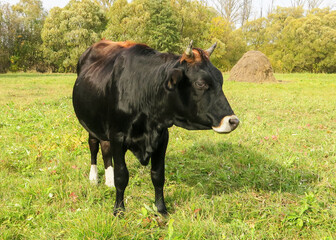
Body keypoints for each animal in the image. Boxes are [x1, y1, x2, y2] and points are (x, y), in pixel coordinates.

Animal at [72, 39, 239, 216]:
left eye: (221, 80)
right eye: (201, 83)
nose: (233, 121)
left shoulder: (162, 137)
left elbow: (158, 175)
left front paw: (161, 209)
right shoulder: (118, 136)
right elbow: (121, 175)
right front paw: (119, 210)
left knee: (105, 148)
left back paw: (108, 181)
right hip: (90, 124)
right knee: (94, 145)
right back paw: (94, 178)